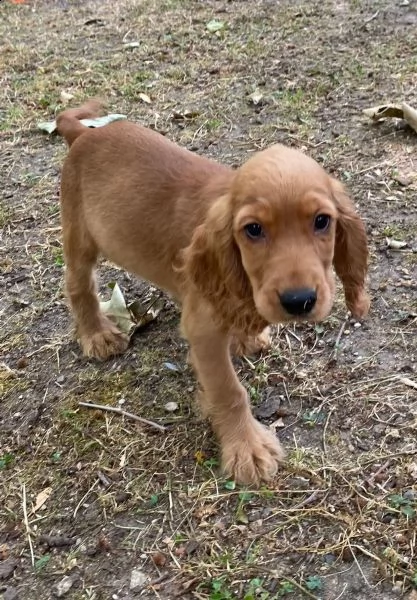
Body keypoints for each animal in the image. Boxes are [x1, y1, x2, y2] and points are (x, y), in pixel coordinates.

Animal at [56, 101, 370, 486]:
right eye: (253, 229)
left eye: (322, 221)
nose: (299, 301)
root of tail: (84, 133)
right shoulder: (203, 329)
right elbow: (229, 390)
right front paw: (247, 448)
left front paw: (245, 337)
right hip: (79, 237)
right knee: (78, 285)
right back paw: (96, 334)